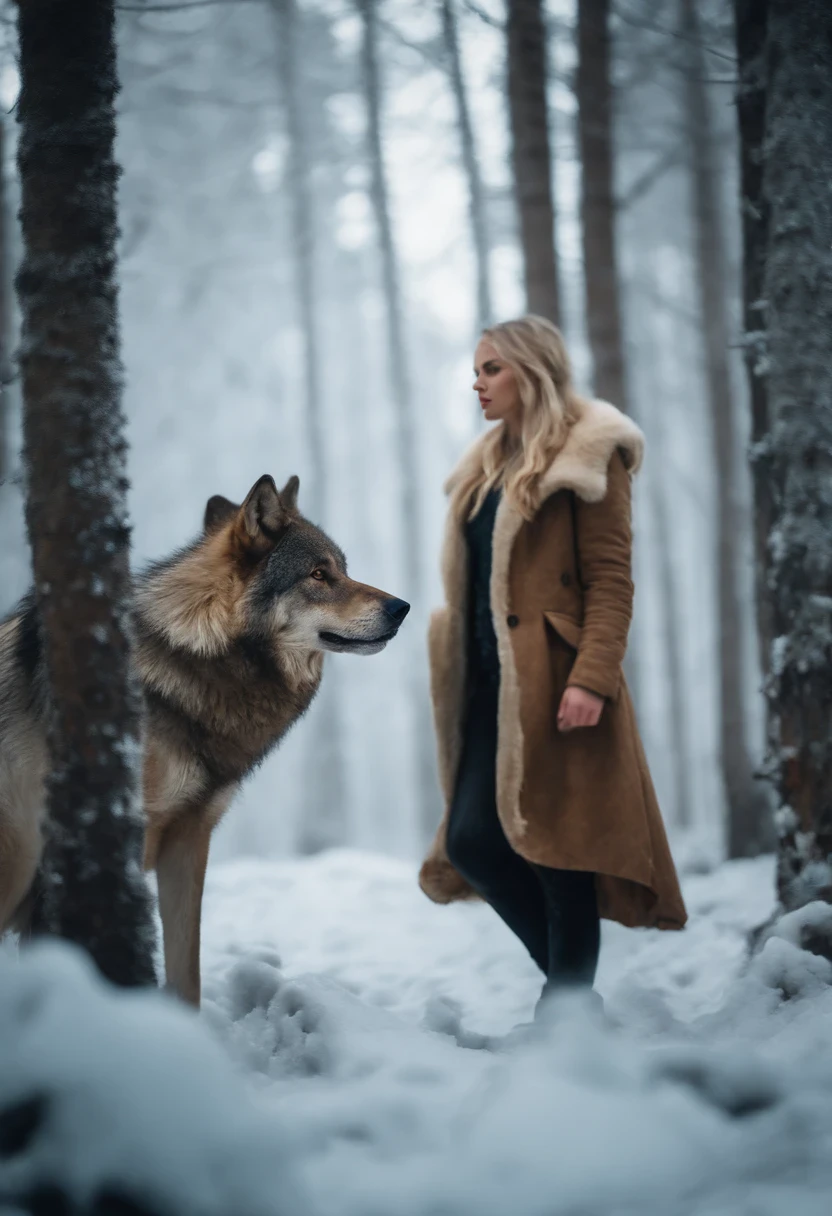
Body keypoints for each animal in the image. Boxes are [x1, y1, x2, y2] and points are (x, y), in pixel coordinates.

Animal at [0, 474, 408, 1006]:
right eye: (319, 574)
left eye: (343, 570)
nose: (402, 608)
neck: (199, 652)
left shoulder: (189, 840)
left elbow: (186, 970)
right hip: (20, 859)